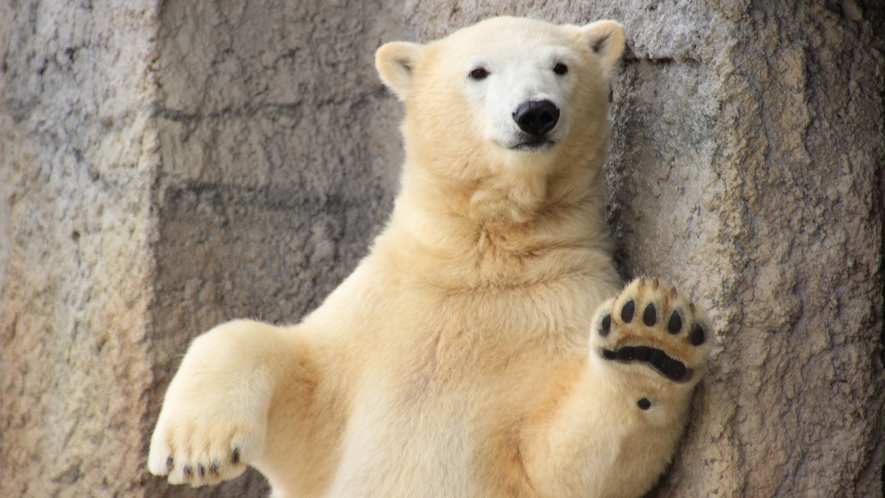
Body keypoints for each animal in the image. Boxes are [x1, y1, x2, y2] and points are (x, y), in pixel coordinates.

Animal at [145, 16, 712, 498]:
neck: (483, 254)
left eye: (560, 66)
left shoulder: (564, 307)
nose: (535, 112)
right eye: (479, 70)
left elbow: (565, 463)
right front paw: (195, 450)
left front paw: (649, 338)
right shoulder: (378, 307)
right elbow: (287, 372)